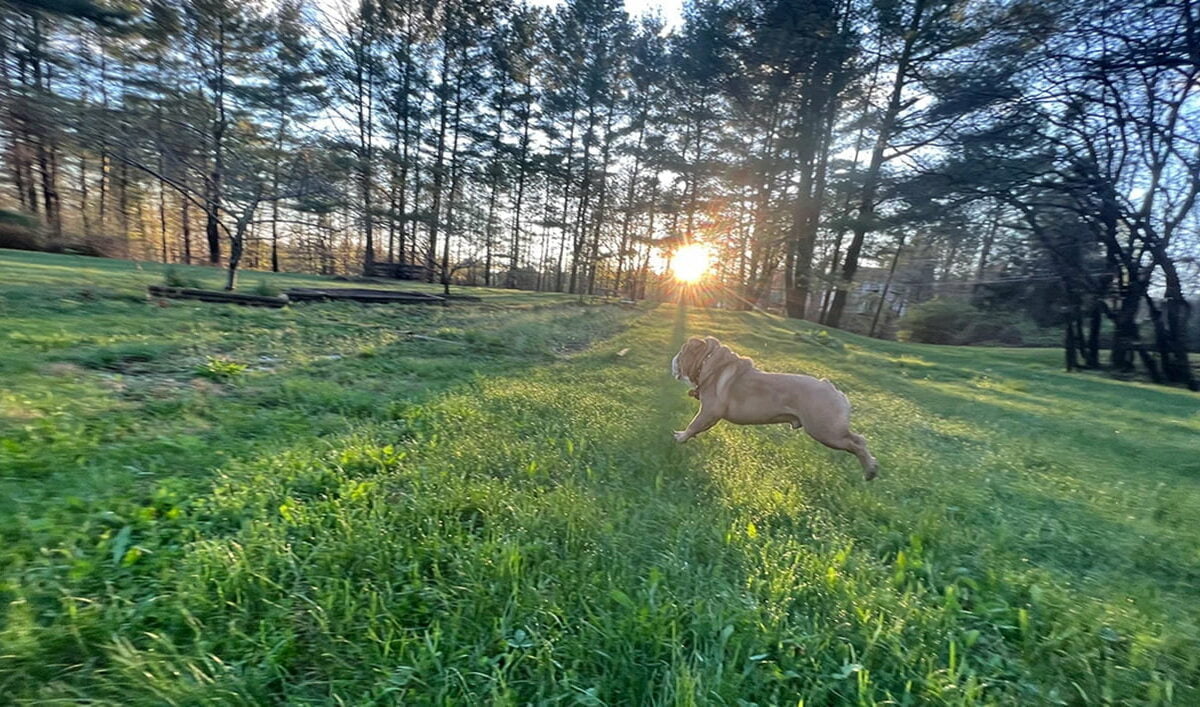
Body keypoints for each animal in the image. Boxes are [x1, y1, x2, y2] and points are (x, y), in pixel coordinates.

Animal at [672, 336, 878, 480]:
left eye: (682, 353)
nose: (674, 359)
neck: (708, 361)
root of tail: (832, 388)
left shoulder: (708, 412)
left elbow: (693, 425)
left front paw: (681, 437)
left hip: (826, 431)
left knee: (858, 442)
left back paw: (870, 470)